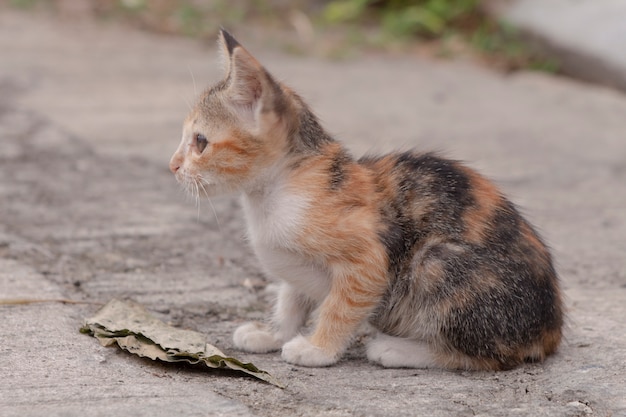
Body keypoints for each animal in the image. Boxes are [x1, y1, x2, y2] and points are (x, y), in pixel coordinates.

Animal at [169, 30, 560, 370]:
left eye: (200, 142)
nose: (172, 166)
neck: (274, 193)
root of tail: (550, 329)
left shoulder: (368, 260)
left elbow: (340, 307)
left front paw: (318, 348)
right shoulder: (296, 271)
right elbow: (291, 298)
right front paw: (274, 332)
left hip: (438, 263)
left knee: (488, 354)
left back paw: (398, 349)